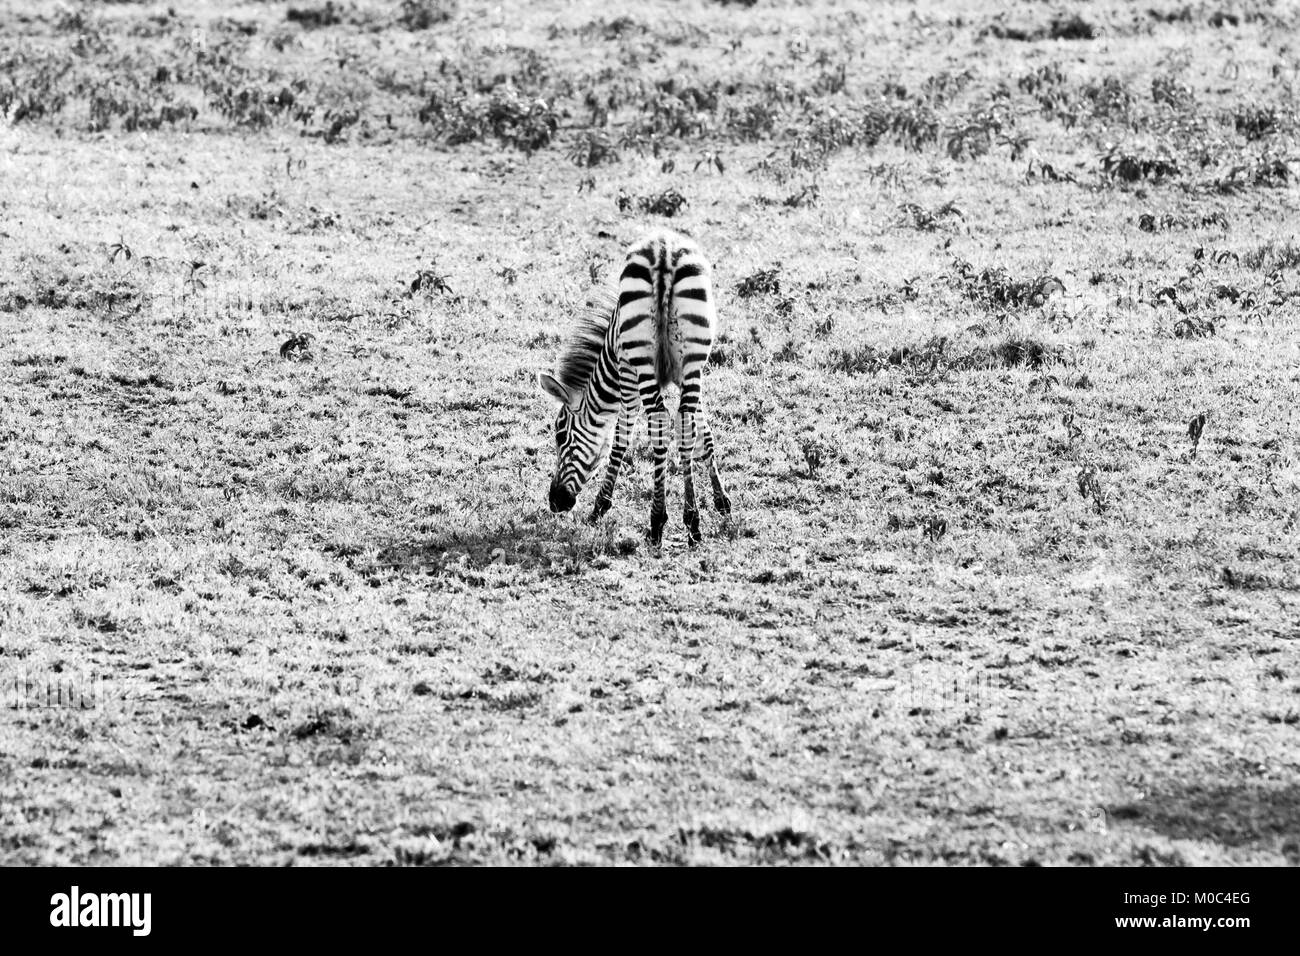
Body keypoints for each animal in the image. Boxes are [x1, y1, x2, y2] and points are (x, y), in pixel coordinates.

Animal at [537, 228, 732, 546]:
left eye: (560, 435)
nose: (556, 503)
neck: (609, 359)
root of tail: (664, 250)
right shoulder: (688, 375)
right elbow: (703, 432)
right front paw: (721, 500)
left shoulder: (627, 374)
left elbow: (620, 439)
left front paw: (599, 507)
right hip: (693, 354)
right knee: (683, 422)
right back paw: (692, 522)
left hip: (642, 359)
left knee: (659, 421)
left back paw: (657, 520)